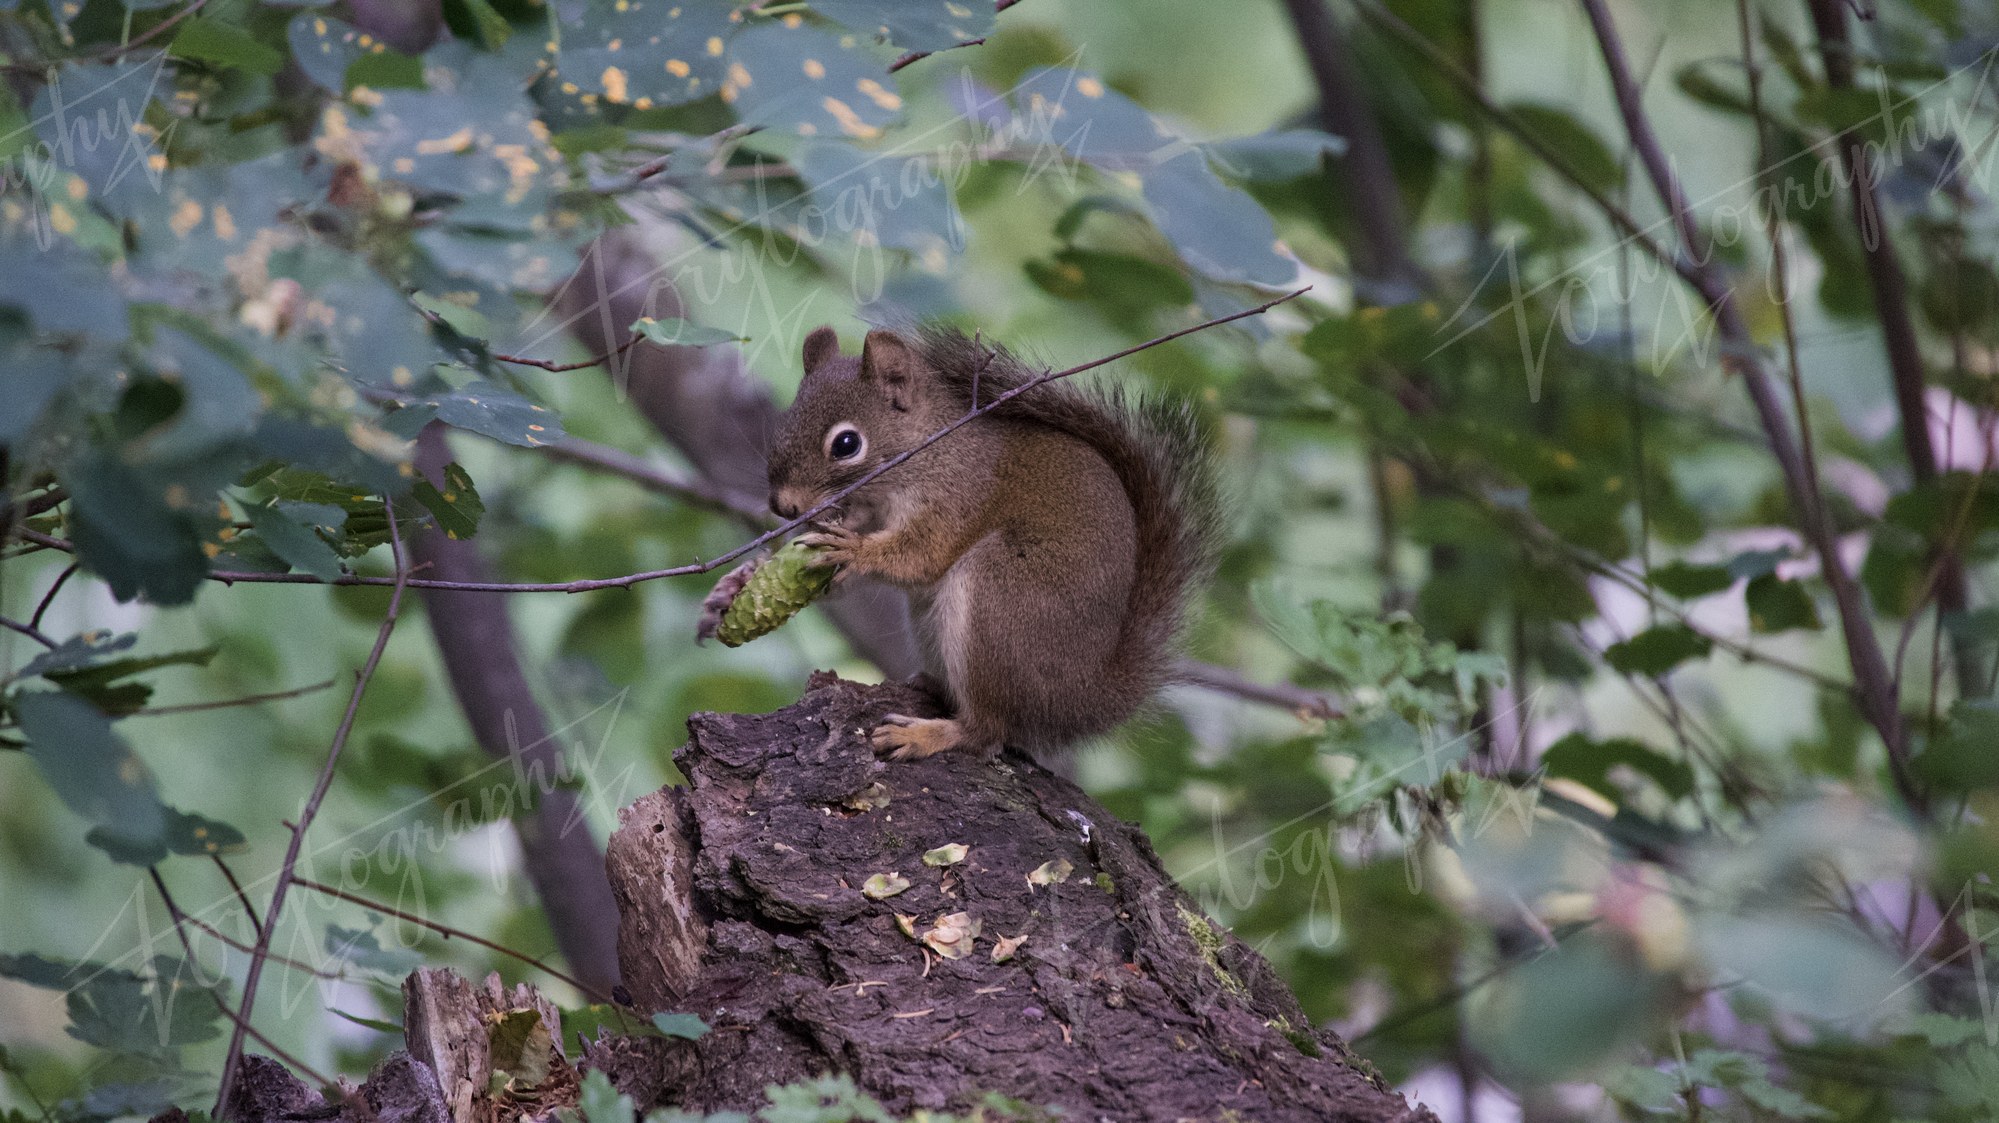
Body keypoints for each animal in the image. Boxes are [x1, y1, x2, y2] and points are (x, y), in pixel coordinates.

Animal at [765, 325, 1220, 761]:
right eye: (784, 423)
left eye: (846, 444)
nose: (783, 506)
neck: (925, 453)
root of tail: (1083, 698)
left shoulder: (959, 498)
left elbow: (922, 556)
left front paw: (853, 550)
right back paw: (930, 684)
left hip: (1001, 596)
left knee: (987, 732)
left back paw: (928, 735)